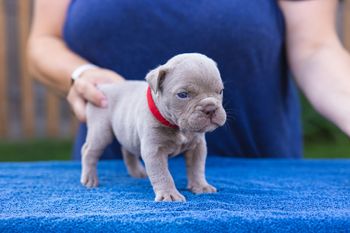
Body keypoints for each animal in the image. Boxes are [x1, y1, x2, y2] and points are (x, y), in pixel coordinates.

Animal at [80, 53, 227, 201]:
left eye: (220, 91)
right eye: (183, 95)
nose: (210, 108)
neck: (177, 126)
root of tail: (103, 87)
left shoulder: (197, 147)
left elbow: (197, 167)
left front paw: (201, 186)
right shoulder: (155, 150)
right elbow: (162, 173)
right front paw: (169, 194)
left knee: (127, 149)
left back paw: (137, 172)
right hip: (101, 130)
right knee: (89, 151)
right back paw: (90, 178)